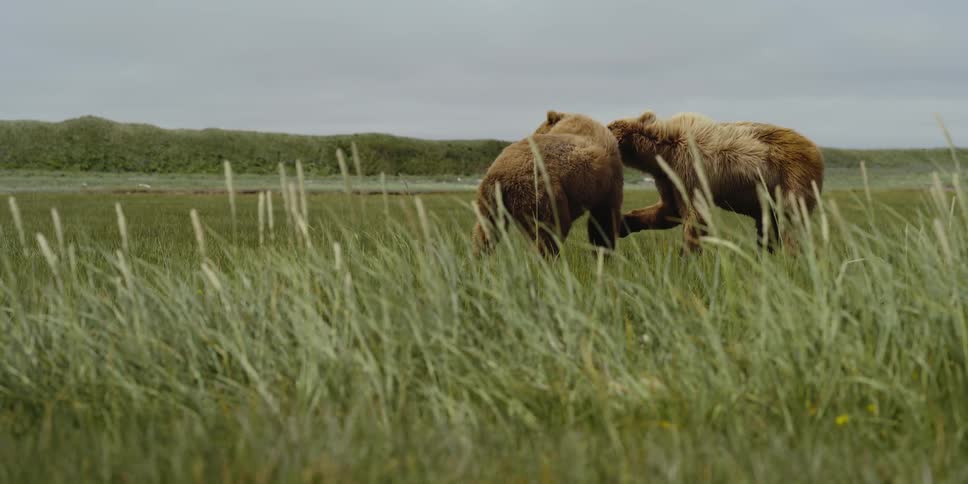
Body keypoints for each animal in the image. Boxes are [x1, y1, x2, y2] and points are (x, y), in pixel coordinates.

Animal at [473, 111, 624, 256]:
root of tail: (500, 177)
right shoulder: (608, 183)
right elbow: (604, 220)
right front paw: (603, 251)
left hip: (490, 201)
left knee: (486, 230)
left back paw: (479, 256)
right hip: (540, 194)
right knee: (550, 232)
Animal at [606, 110, 824, 252]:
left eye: (609, 126)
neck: (663, 151)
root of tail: (815, 149)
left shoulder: (690, 167)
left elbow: (695, 215)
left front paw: (688, 255)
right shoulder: (668, 177)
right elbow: (668, 210)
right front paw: (621, 223)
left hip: (792, 177)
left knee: (791, 222)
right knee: (768, 226)